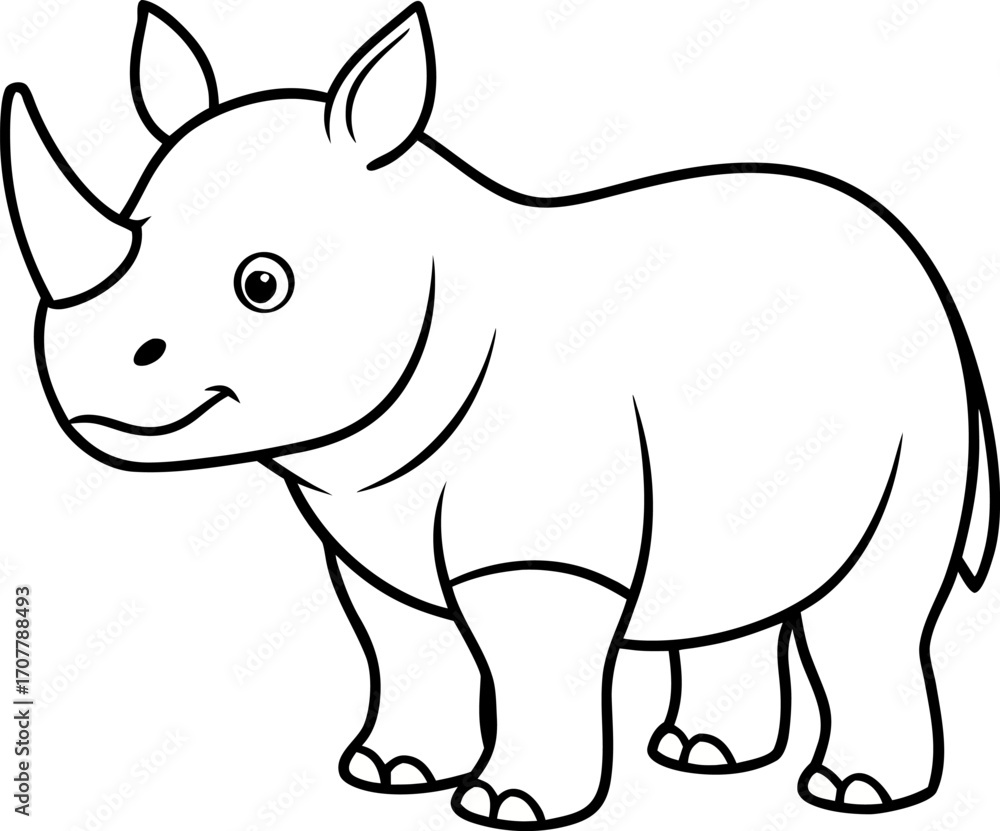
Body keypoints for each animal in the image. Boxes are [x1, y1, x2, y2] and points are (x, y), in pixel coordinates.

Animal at [3, 2, 997, 827]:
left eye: (263, 284)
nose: (90, 383)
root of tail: (920, 258)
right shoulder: (369, 528)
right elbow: (399, 641)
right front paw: (390, 773)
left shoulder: (541, 541)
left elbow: (529, 654)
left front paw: (509, 805)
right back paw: (702, 758)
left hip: (925, 380)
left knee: (878, 597)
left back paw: (851, 792)